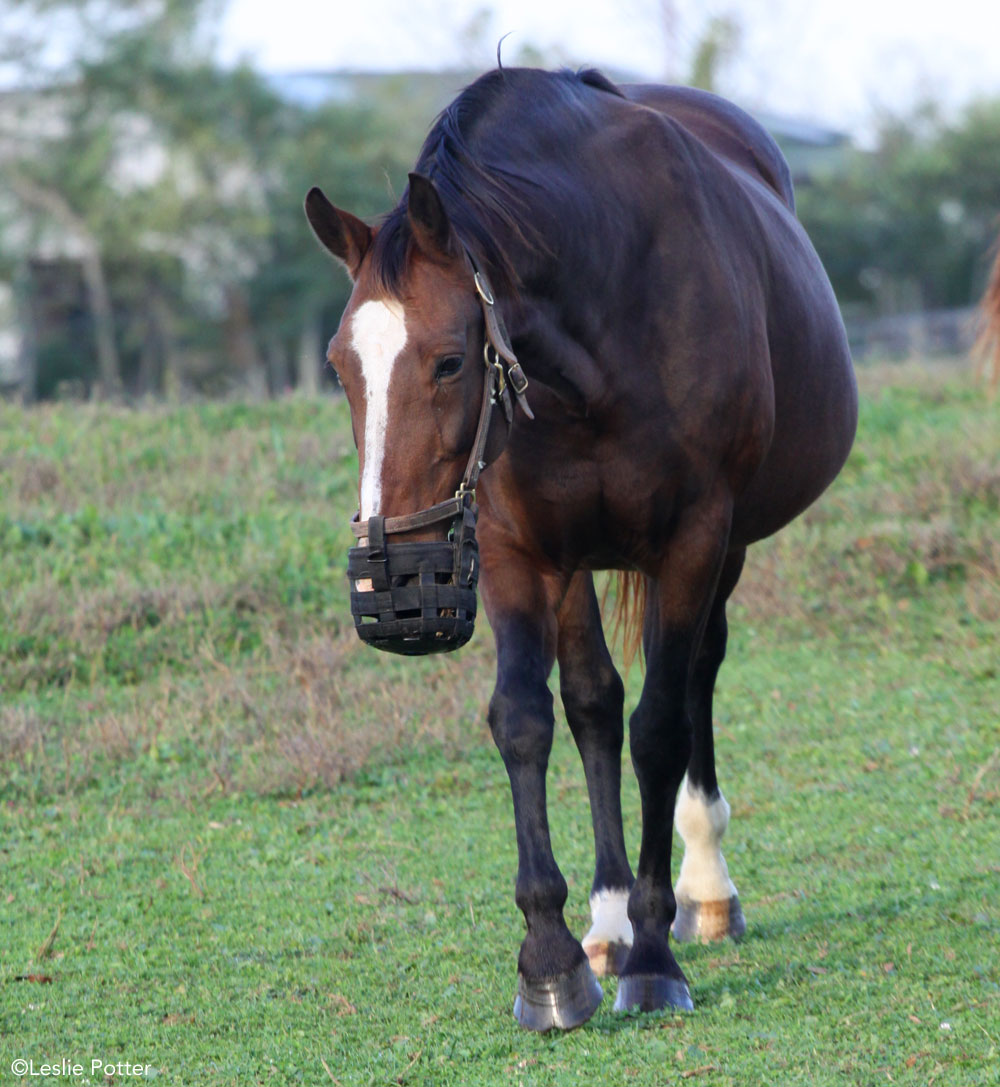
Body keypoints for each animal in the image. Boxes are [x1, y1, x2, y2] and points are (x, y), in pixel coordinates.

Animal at [304, 63, 860, 1030]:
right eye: (341, 367)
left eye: (450, 361)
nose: (394, 579)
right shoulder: (518, 551)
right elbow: (531, 719)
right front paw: (552, 961)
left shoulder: (693, 539)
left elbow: (661, 726)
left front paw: (655, 955)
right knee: (594, 703)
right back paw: (605, 924)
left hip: (722, 551)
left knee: (695, 679)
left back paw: (702, 890)